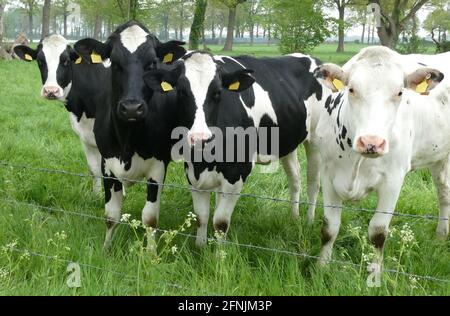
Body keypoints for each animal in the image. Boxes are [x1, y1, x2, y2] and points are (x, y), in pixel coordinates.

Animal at [14, 35, 110, 196]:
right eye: (40, 61)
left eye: (65, 61)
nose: (50, 91)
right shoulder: (85, 137)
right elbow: (95, 169)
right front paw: (96, 196)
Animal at [73, 21, 185, 249]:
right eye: (115, 63)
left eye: (151, 64)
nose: (132, 108)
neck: (128, 141)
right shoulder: (107, 164)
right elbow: (111, 215)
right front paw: (106, 249)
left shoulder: (158, 166)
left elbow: (150, 218)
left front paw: (151, 253)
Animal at [145, 51, 324, 246]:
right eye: (181, 92)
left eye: (217, 93)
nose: (200, 139)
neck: (205, 159)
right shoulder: (193, 173)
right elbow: (201, 217)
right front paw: (201, 248)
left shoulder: (236, 173)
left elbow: (221, 222)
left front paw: (219, 253)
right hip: (287, 143)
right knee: (295, 178)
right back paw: (294, 218)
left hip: (316, 141)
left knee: (313, 183)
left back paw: (309, 222)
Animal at [310, 46, 450, 272]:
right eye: (351, 90)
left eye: (400, 92)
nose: (371, 142)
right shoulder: (328, 173)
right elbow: (329, 228)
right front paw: (321, 268)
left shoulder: (393, 180)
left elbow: (378, 233)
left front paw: (375, 274)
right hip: (439, 157)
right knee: (444, 192)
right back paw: (440, 235)